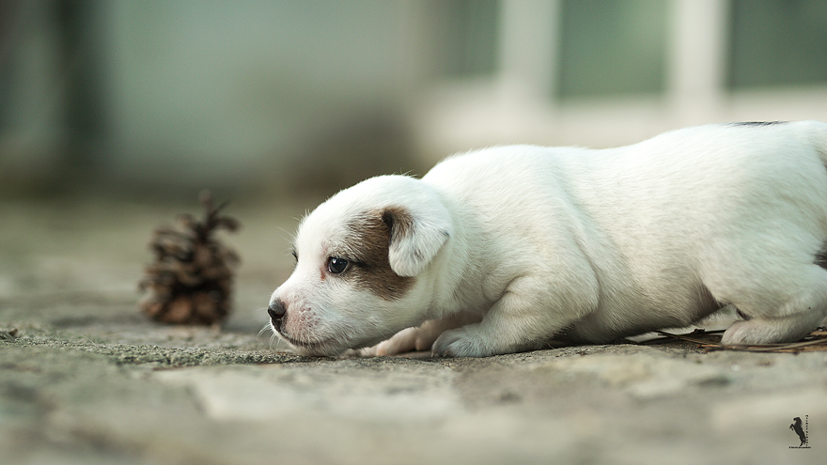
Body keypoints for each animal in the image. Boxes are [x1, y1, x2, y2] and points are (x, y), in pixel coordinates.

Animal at [268, 121, 827, 358]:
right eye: (296, 258)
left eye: (338, 264)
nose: (272, 311)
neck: (462, 217)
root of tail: (802, 134)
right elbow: (434, 319)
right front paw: (403, 339)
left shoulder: (554, 282)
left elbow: (506, 319)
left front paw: (467, 341)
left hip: (739, 263)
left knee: (811, 293)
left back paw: (754, 333)